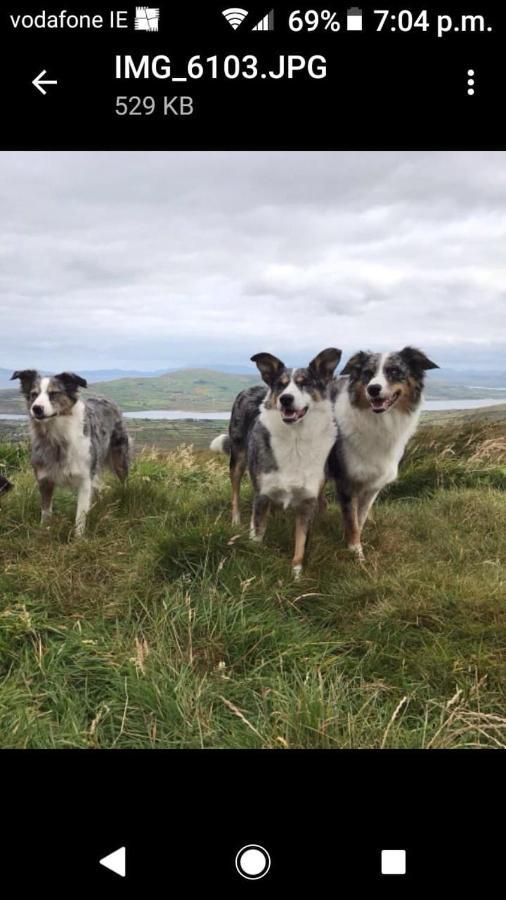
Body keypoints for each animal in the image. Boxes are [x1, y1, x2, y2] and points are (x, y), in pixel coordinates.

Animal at [10, 370, 130, 536]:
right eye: (34, 394)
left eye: (54, 393)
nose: (36, 408)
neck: (56, 439)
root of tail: (105, 399)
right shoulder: (44, 479)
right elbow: (46, 512)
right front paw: (44, 531)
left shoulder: (85, 479)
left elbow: (80, 515)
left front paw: (78, 538)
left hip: (119, 459)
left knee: (123, 480)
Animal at [211, 348, 342, 580]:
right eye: (281, 385)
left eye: (305, 383)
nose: (286, 399)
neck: (295, 440)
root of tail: (252, 387)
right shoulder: (262, 495)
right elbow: (257, 534)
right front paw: (255, 560)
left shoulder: (307, 502)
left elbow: (300, 545)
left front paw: (297, 575)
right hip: (238, 458)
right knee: (235, 493)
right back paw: (236, 520)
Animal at [330, 348, 436, 560]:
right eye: (368, 373)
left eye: (394, 371)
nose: (373, 389)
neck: (379, 421)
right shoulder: (346, 482)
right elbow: (352, 521)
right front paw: (356, 554)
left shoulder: (372, 486)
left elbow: (360, 518)